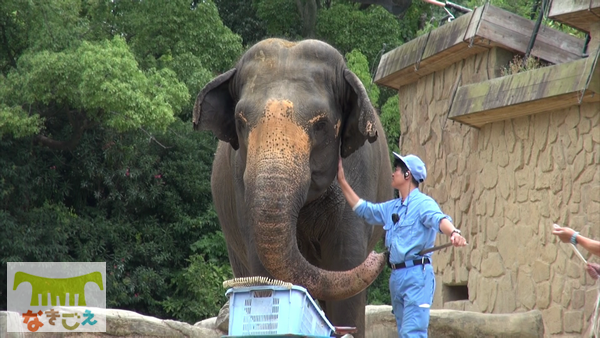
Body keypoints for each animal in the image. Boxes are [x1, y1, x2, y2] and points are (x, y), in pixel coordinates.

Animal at [192, 38, 396, 336]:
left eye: (321, 124)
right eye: (240, 122)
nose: (383, 254)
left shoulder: (360, 171)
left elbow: (345, 259)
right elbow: (264, 268)